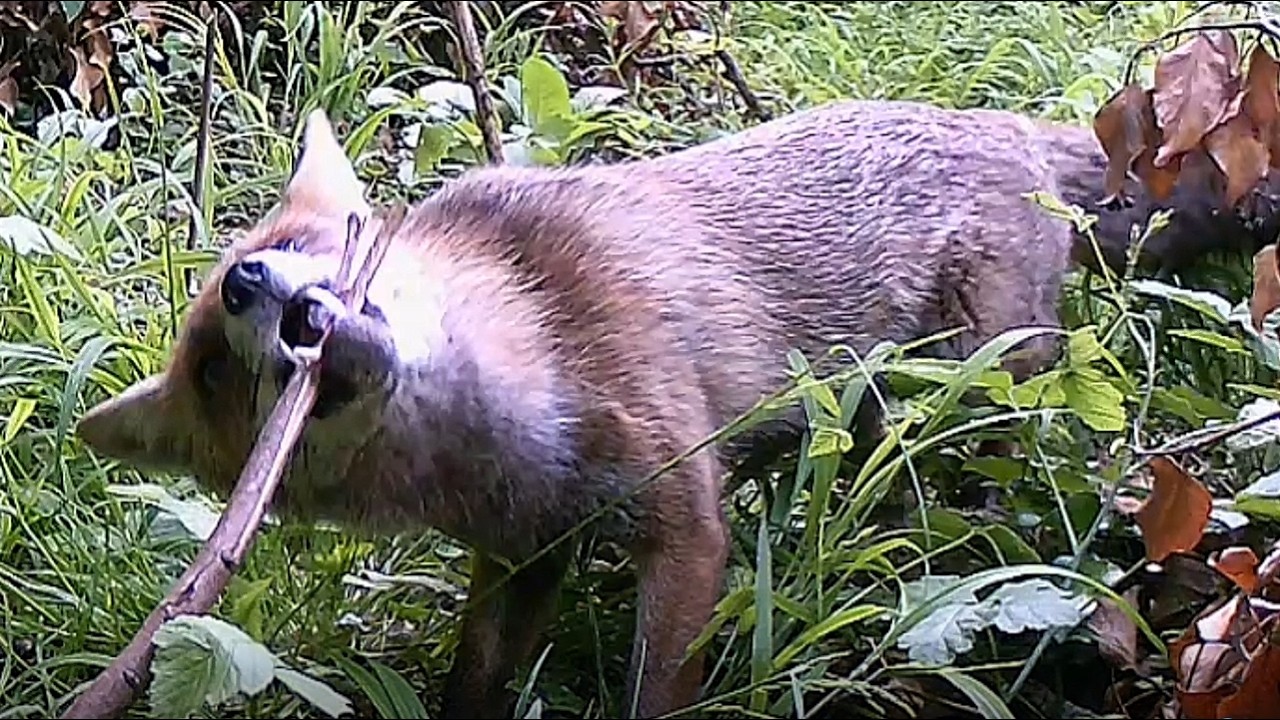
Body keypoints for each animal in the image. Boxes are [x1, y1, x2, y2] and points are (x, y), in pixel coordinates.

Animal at [74, 97, 1280, 718]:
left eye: (290, 245)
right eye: (214, 371)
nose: (248, 285)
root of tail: (995, 119)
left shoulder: (683, 521)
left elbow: (656, 688)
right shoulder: (526, 555)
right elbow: (476, 676)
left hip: (993, 382)